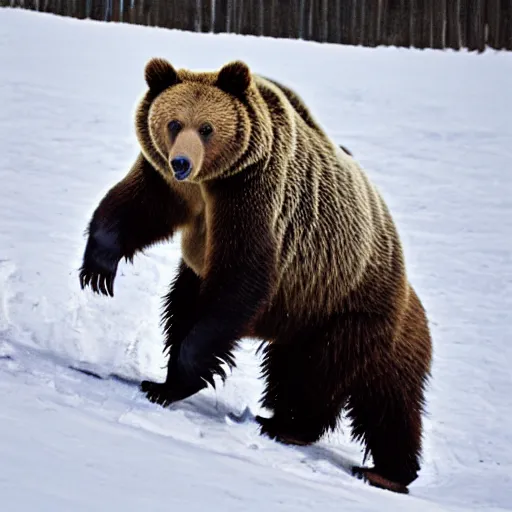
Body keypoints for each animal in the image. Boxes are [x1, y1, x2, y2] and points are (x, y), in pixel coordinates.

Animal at [79, 58, 432, 494]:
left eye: (207, 128)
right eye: (174, 123)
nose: (182, 163)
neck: (210, 182)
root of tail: (406, 283)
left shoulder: (254, 199)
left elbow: (238, 286)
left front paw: (178, 381)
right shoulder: (171, 187)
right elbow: (133, 208)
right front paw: (98, 270)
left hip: (345, 308)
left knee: (325, 377)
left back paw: (301, 433)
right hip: (319, 318)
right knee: (379, 397)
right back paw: (378, 464)